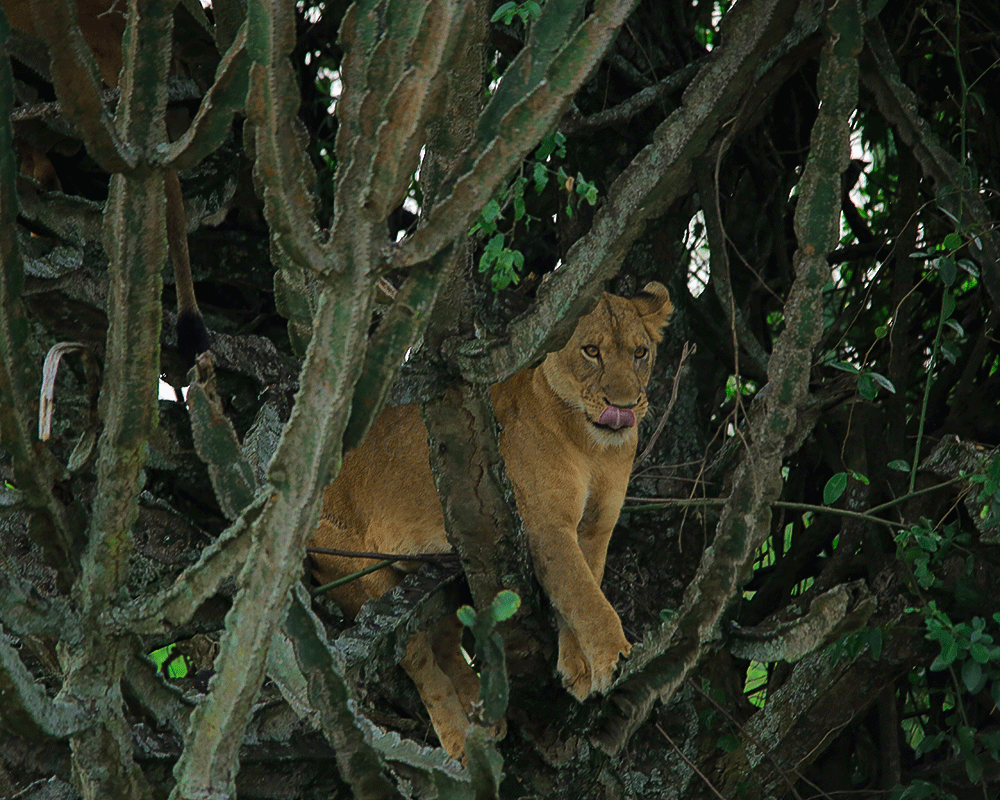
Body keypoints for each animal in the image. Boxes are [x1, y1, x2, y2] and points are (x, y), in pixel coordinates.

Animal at [310, 282, 673, 758]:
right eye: (591, 351)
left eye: (639, 353)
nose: (624, 405)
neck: (593, 445)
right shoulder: (545, 526)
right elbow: (584, 597)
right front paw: (614, 658)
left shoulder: (595, 528)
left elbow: (582, 589)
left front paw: (577, 667)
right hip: (363, 577)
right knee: (418, 658)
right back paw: (459, 738)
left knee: (446, 644)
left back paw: (482, 711)